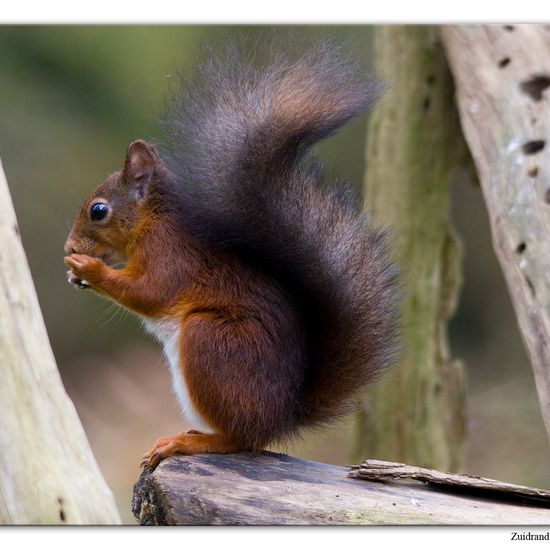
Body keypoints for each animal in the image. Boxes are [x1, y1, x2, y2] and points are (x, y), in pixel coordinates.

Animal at [64, 43, 402, 470]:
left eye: (99, 210)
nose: (69, 247)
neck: (154, 219)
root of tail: (281, 416)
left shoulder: (170, 253)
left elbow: (151, 292)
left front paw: (88, 268)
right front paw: (76, 274)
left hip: (212, 341)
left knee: (241, 439)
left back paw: (189, 442)